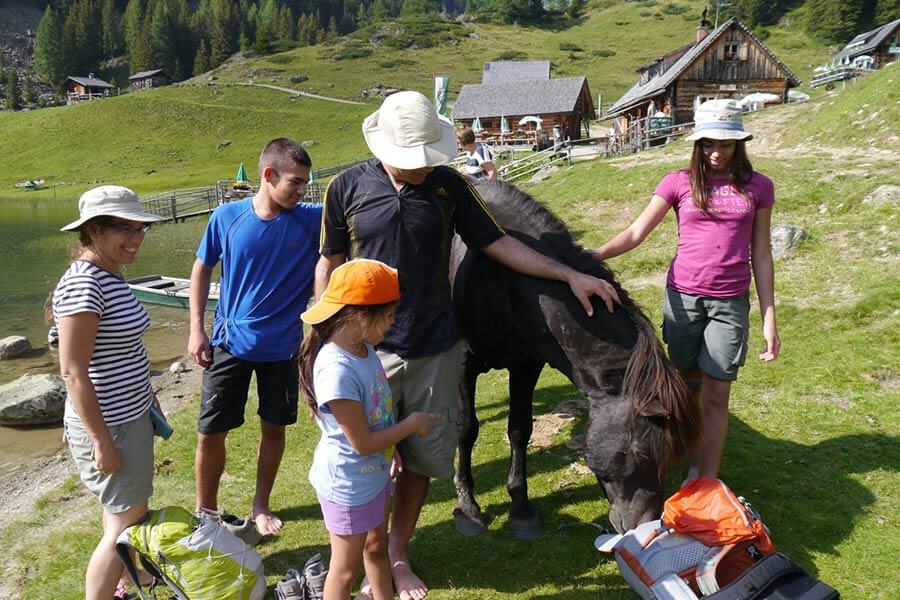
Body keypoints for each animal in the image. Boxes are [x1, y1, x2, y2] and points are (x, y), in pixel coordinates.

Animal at [449, 179, 702, 539]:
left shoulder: (526, 365)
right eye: (639, 453)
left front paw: (521, 508)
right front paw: (467, 506)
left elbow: (519, 429)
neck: (500, 278)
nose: (646, 524)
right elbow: (467, 428)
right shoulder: (463, 363)